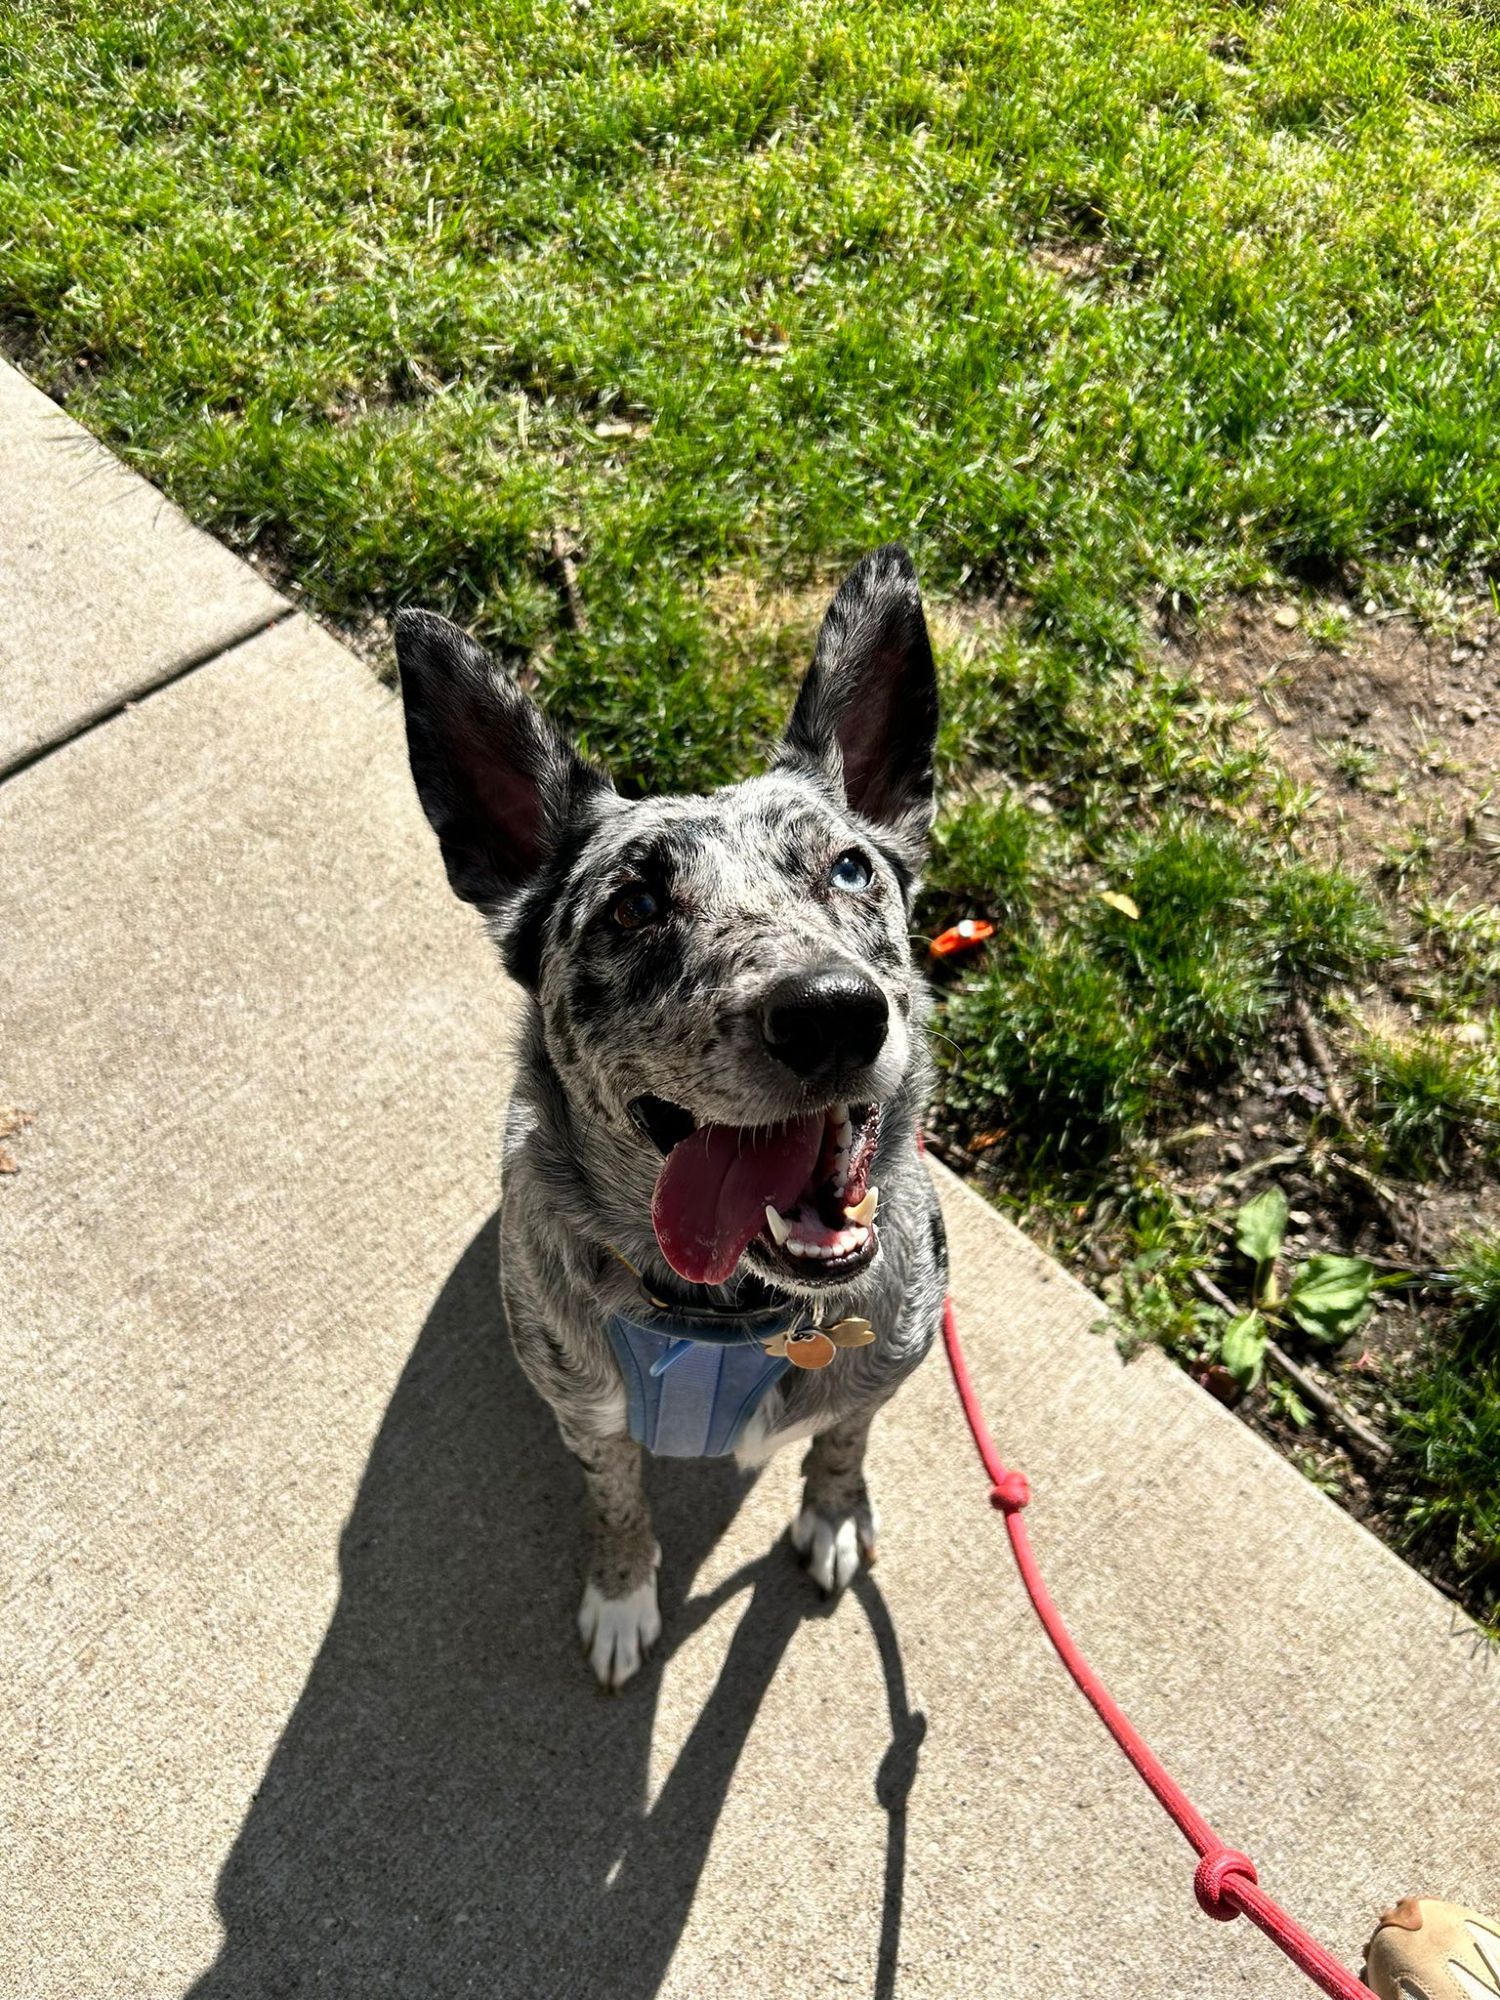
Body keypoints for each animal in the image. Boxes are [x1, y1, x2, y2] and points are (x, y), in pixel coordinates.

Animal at [394, 540, 944, 1680]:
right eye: (633, 904)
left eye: (851, 867)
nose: (833, 1014)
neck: (728, 1314)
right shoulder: (589, 1412)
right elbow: (616, 1500)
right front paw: (620, 1592)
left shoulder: (887, 1362)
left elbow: (844, 1436)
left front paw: (833, 1509)